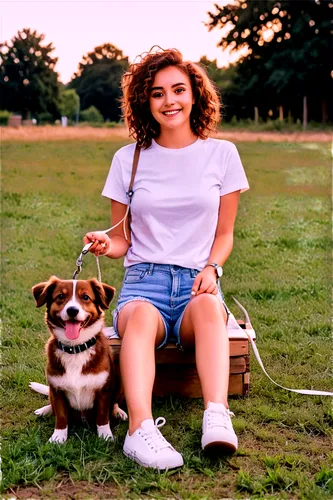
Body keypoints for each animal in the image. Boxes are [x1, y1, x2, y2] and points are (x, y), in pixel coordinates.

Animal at [30, 276, 126, 444]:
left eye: (86, 297)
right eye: (61, 296)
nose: (72, 310)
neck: (75, 349)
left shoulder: (103, 391)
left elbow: (102, 416)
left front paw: (105, 435)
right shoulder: (57, 390)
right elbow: (61, 416)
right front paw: (57, 437)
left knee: (114, 404)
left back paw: (119, 412)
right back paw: (45, 410)